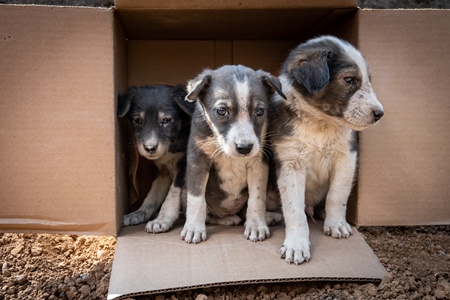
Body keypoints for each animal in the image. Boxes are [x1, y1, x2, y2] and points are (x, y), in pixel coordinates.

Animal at [117, 83, 194, 233]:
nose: (150, 148)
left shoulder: (184, 167)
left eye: (166, 120)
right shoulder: (163, 172)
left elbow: (172, 194)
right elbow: (152, 196)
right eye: (138, 120)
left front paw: (162, 219)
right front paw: (139, 213)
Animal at [178, 65, 284, 244]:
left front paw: (256, 225)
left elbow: (257, 198)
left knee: (243, 211)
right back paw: (227, 219)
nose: (245, 148)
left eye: (260, 111)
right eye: (221, 111)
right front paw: (193, 228)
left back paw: (267, 217)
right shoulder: (197, 160)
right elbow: (196, 199)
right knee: (210, 215)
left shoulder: (258, 162)